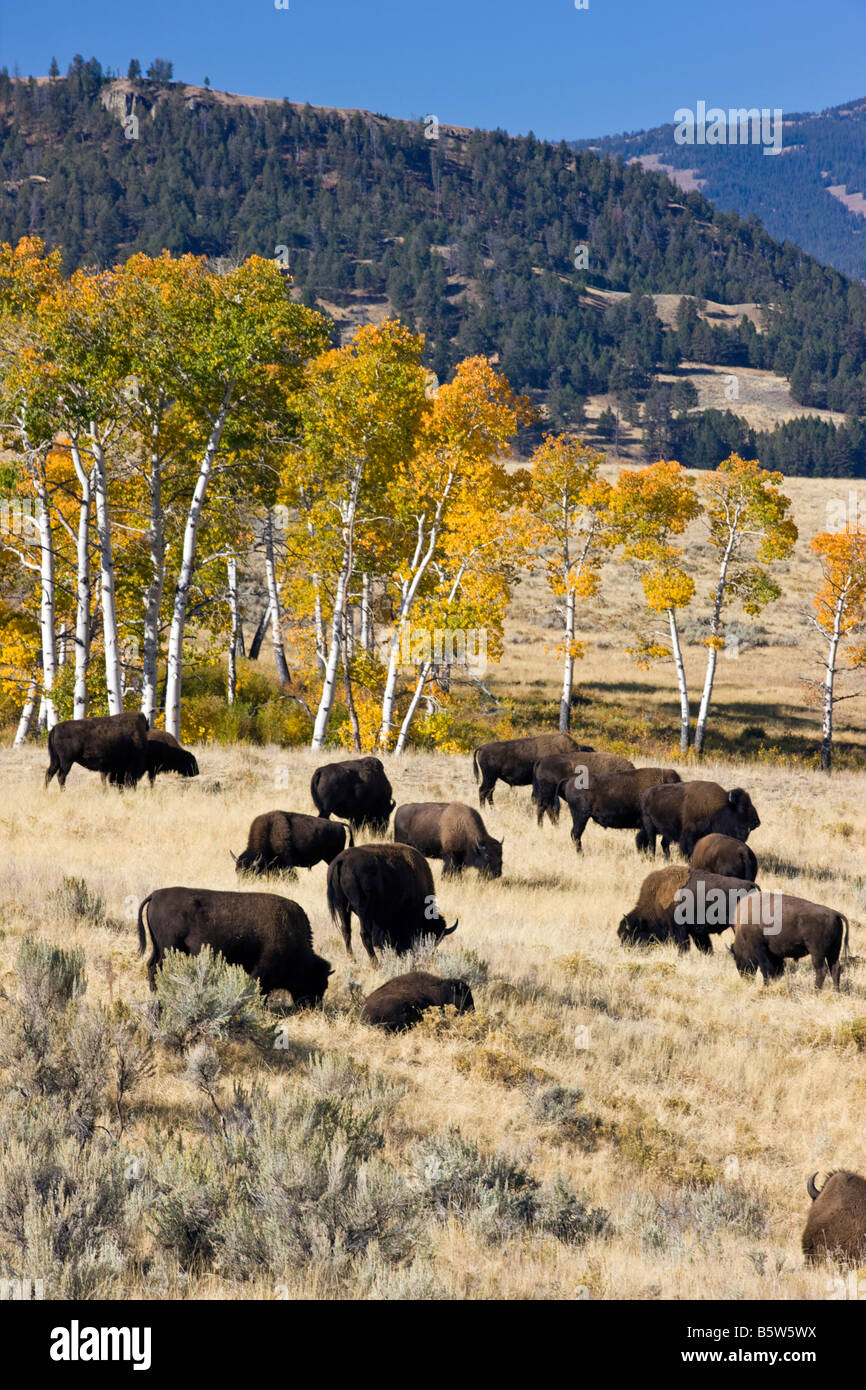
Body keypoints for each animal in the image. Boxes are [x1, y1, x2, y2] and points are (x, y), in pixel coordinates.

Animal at [326, 839, 461, 961]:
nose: (428, 954)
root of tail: (342, 861)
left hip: (342, 907)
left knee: (346, 931)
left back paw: (353, 959)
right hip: (362, 910)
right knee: (364, 934)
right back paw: (376, 964)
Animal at [617, 861, 756, 950]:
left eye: (629, 935)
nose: (626, 950)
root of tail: (752, 885)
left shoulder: (679, 929)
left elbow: (684, 946)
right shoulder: (697, 933)